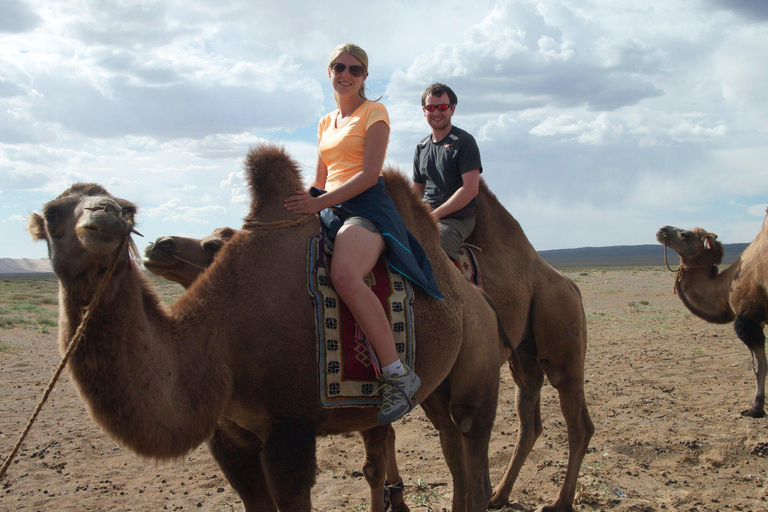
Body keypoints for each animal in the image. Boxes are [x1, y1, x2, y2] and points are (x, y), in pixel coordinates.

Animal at [28, 143, 519, 512]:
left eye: (128, 210)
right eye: (52, 213)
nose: (105, 217)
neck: (220, 340)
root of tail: (475, 296)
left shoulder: (290, 430)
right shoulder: (230, 439)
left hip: (478, 368)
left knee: (472, 441)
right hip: (435, 385)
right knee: (450, 449)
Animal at [657, 220, 768, 418]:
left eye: (685, 235)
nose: (662, 230)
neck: (727, 285)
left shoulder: (750, 319)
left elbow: (758, 366)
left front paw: (755, 408)